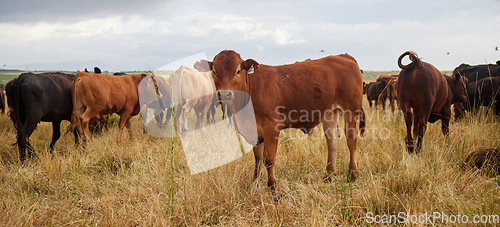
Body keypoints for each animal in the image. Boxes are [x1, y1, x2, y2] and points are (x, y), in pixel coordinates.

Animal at [205, 50, 366, 196]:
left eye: (238, 71)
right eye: (214, 71)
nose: (225, 94)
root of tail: (343, 56)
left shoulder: (271, 128)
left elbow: (269, 160)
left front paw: (273, 190)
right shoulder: (256, 131)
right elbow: (257, 159)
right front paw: (254, 185)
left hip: (351, 110)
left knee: (351, 141)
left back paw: (352, 175)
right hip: (330, 113)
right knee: (332, 141)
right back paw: (328, 176)